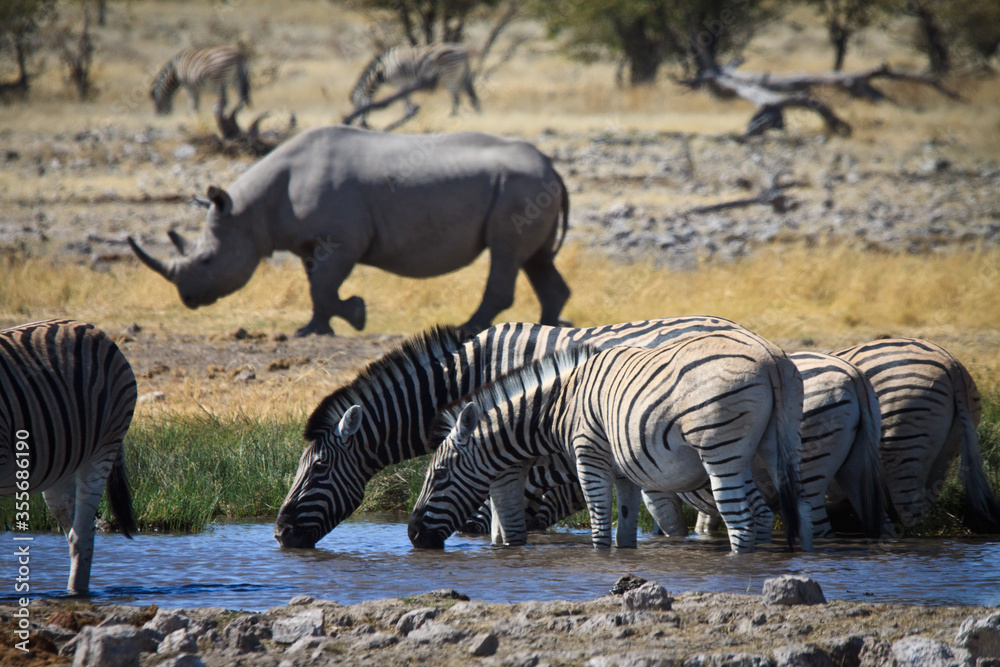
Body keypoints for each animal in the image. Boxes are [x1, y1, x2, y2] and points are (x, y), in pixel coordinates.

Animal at [0, 319, 138, 594]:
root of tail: (91, 327)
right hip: (58, 464)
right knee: (75, 531)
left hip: (103, 448)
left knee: (82, 534)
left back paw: (76, 593)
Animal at [128, 125, 571, 336]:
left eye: (206, 260)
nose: (188, 299)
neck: (250, 212)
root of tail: (552, 166)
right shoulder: (310, 242)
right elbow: (316, 285)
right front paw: (313, 329)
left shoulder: (341, 239)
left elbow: (324, 284)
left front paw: (355, 316)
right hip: (529, 187)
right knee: (535, 259)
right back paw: (551, 327)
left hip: (518, 186)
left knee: (505, 253)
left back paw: (468, 328)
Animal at [348, 44, 480, 128]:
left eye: (358, 109)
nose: (358, 125)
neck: (383, 70)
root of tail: (462, 51)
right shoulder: (405, 82)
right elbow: (407, 97)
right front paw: (410, 112)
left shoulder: (399, 81)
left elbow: (404, 98)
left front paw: (409, 113)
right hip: (462, 76)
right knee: (473, 96)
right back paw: (477, 114)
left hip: (450, 76)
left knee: (457, 99)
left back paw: (450, 117)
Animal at [408, 330, 811, 553]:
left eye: (439, 475)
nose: (412, 535)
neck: (559, 406)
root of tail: (769, 357)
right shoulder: (623, 472)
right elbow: (626, 530)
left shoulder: (589, 456)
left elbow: (601, 526)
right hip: (775, 448)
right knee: (779, 514)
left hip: (720, 453)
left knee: (741, 520)